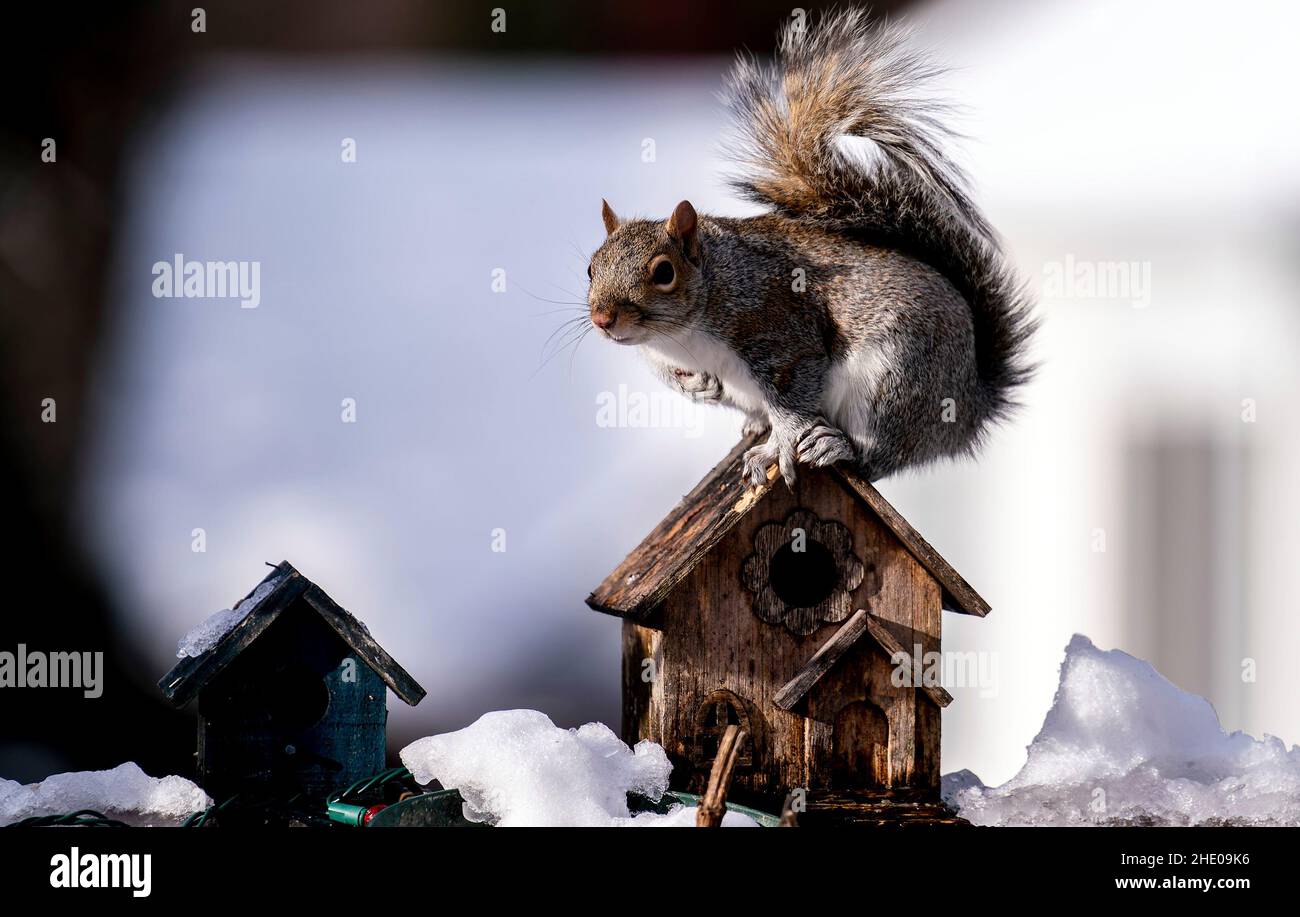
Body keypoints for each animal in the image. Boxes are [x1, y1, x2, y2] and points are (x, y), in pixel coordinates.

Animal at [585, 8, 1029, 486]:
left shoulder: (781, 333)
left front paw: (776, 450)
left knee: (881, 454)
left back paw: (836, 445)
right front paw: (696, 386)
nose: (602, 319)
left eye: (664, 272)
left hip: (898, 380)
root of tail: (973, 402)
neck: (683, 332)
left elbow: (792, 404)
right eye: (591, 269)